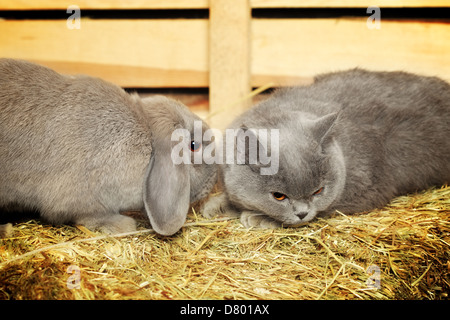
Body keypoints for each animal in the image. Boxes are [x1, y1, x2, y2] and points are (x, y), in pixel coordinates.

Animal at [203, 69, 450, 229]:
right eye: (278, 196)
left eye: (318, 191)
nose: (302, 213)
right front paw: (218, 205)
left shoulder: (365, 190)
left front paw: (259, 218)